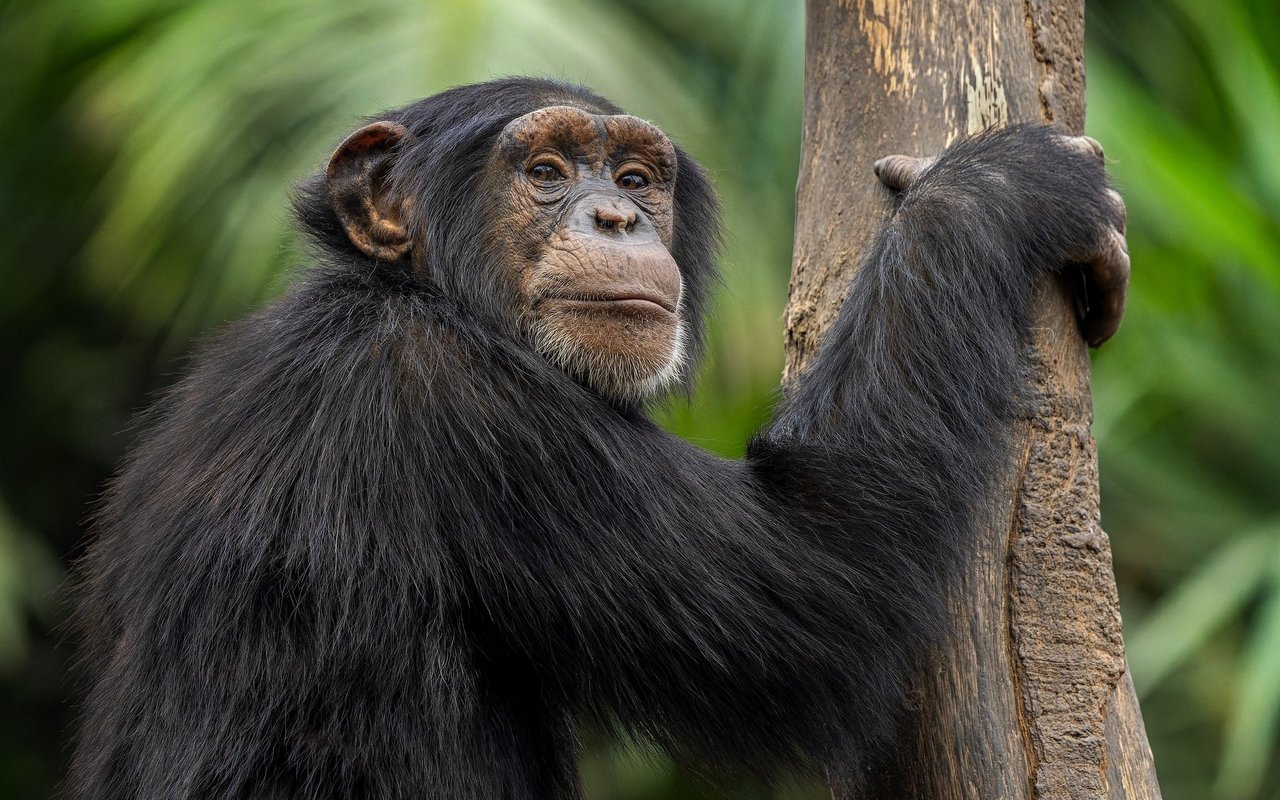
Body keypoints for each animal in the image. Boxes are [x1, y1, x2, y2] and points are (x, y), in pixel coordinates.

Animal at [72, 79, 1131, 798]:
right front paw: (999, 183)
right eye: (544, 173)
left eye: (635, 177)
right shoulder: (474, 413)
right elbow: (823, 582)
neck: (413, 297)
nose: (617, 215)